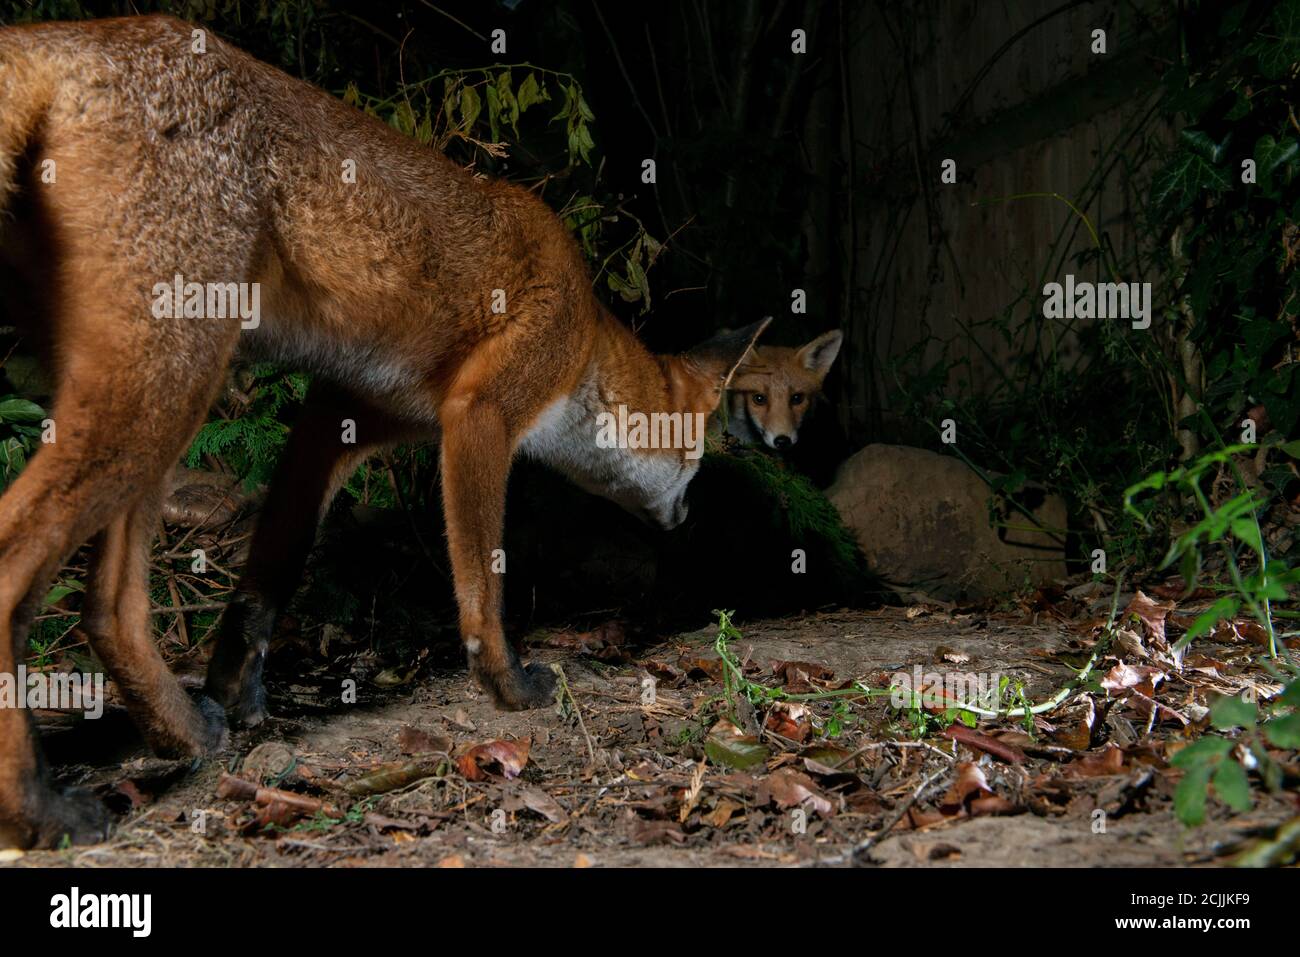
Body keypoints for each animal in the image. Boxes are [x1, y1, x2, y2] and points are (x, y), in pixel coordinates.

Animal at [0, 14, 767, 848]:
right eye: (696, 461)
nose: (688, 517)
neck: (587, 339)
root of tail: (66, 40)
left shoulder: (337, 419)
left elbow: (269, 579)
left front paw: (240, 692)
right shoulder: (482, 413)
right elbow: (483, 584)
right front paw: (508, 684)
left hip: (156, 396)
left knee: (110, 607)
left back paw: (187, 732)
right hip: (163, 389)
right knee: (20, 572)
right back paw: (39, 807)